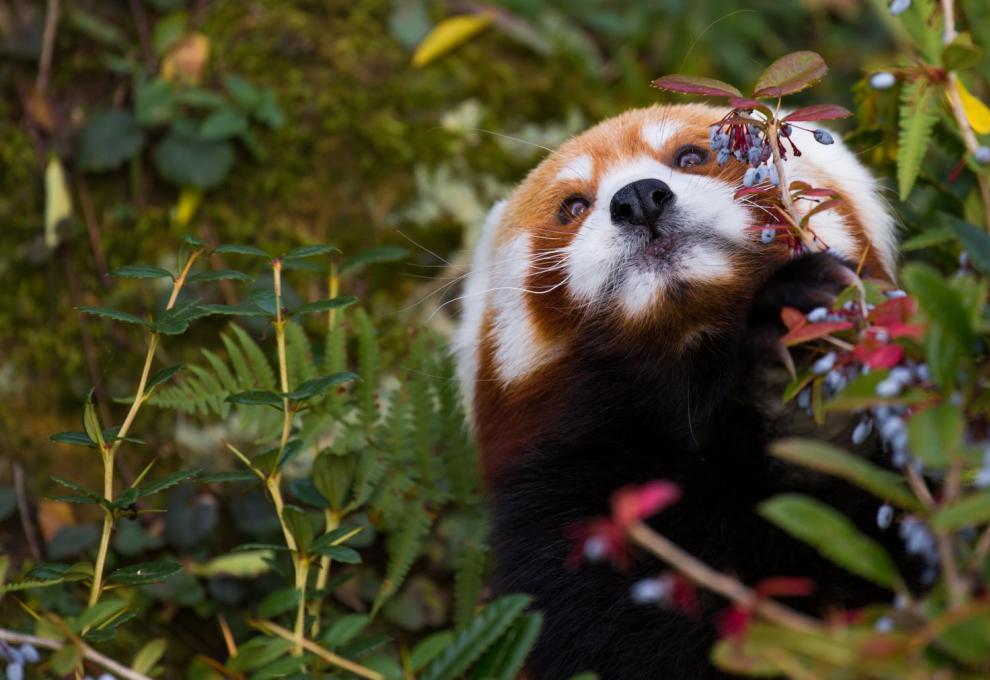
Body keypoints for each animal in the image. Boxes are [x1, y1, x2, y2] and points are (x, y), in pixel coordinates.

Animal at [458, 103, 908, 676]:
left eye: (690, 157)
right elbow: (615, 637)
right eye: (573, 205)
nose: (637, 198)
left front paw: (804, 402)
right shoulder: (558, 510)